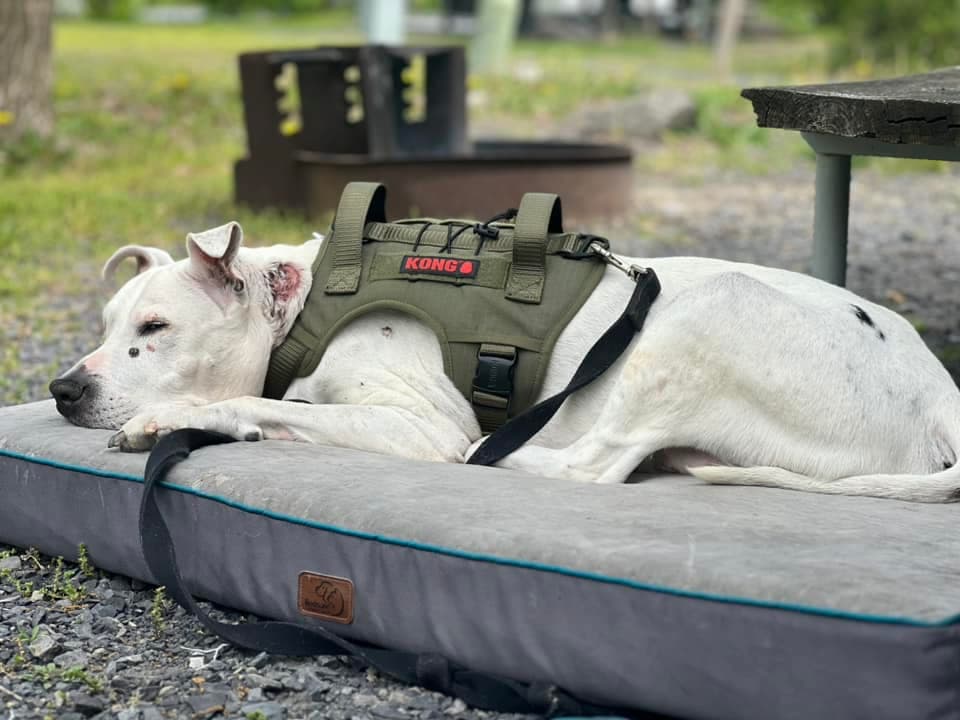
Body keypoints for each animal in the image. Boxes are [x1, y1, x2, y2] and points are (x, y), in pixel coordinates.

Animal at [48, 222, 960, 504]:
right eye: (108, 323)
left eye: (156, 327)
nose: (63, 388)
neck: (298, 314)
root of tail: (939, 391)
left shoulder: (420, 423)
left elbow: (274, 404)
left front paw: (171, 418)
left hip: (707, 314)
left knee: (592, 466)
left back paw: (509, 453)